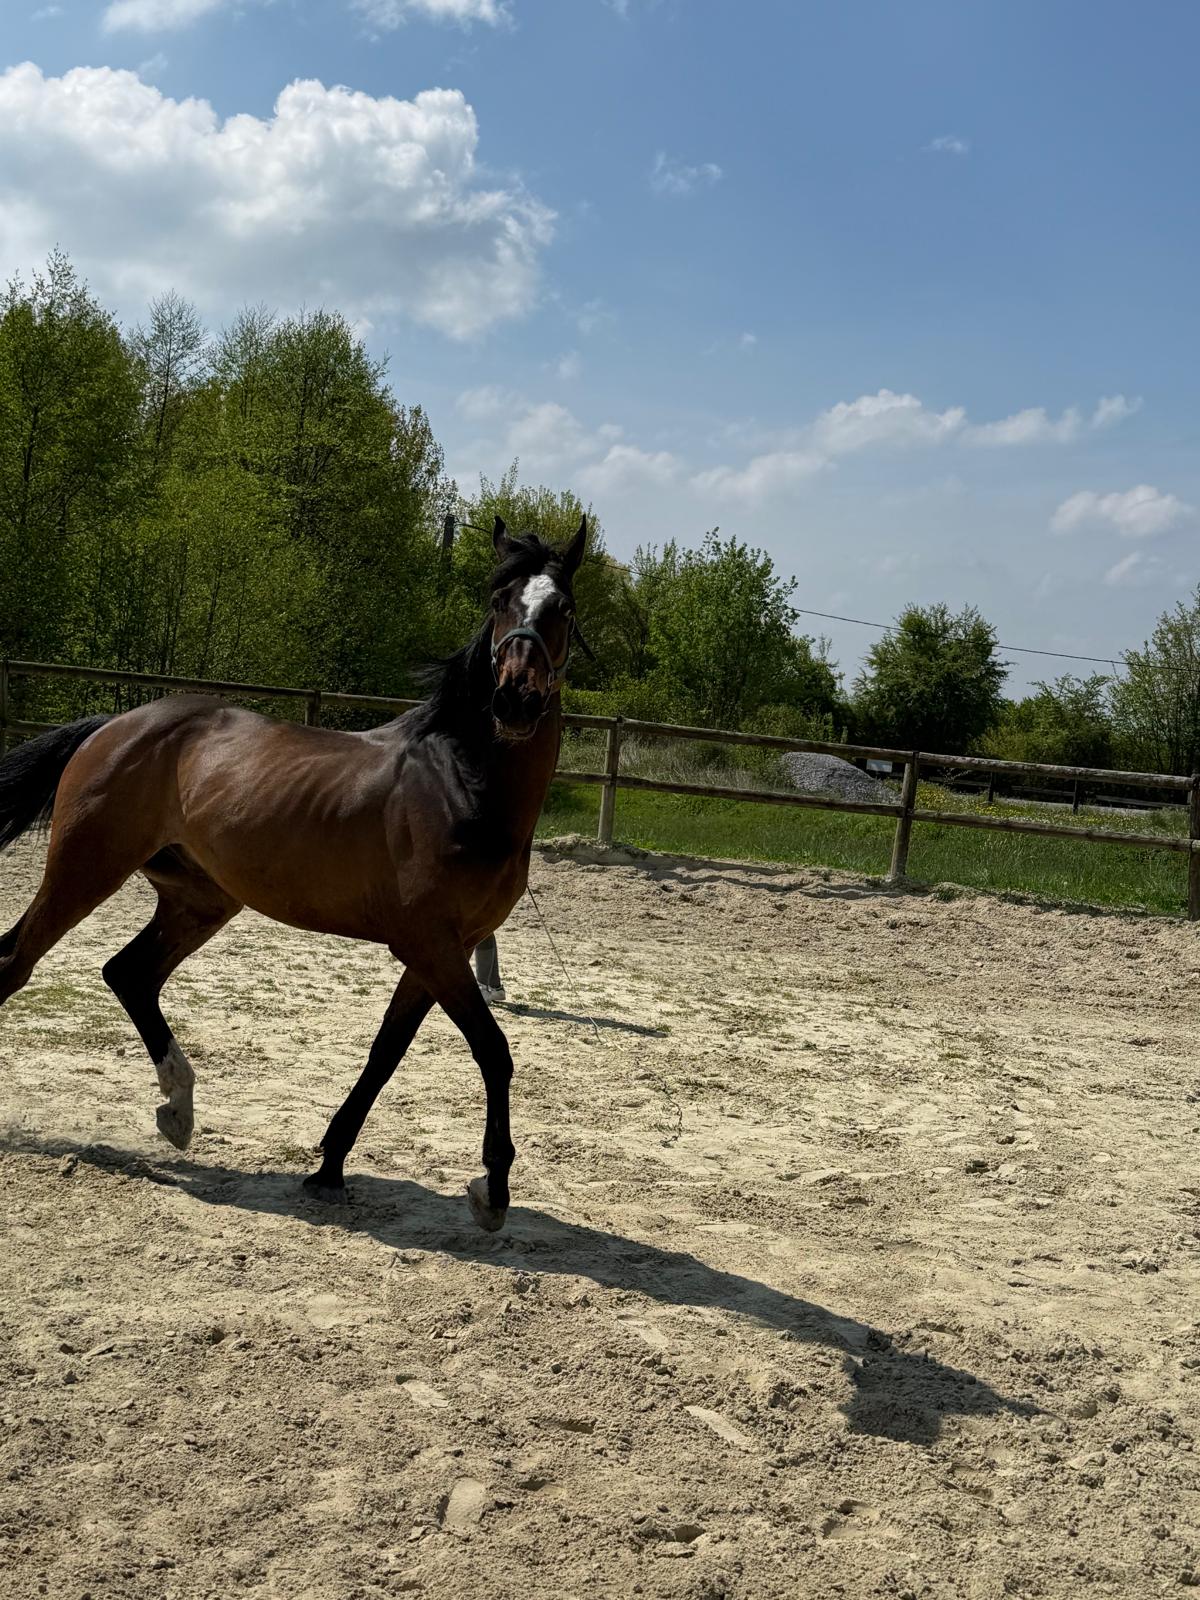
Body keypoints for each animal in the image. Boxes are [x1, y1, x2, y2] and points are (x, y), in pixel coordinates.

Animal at [0, 516, 587, 1233]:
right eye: (500, 601)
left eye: (563, 609)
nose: (515, 699)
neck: (461, 781)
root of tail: (116, 724)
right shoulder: (430, 945)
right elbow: (493, 1052)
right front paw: (492, 1190)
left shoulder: (441, 951)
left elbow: (385, 1054)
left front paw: (329, 1168)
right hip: (84, 871)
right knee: (18, 965)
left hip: (199, 899)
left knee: (128, 973)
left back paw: (178, 1111)